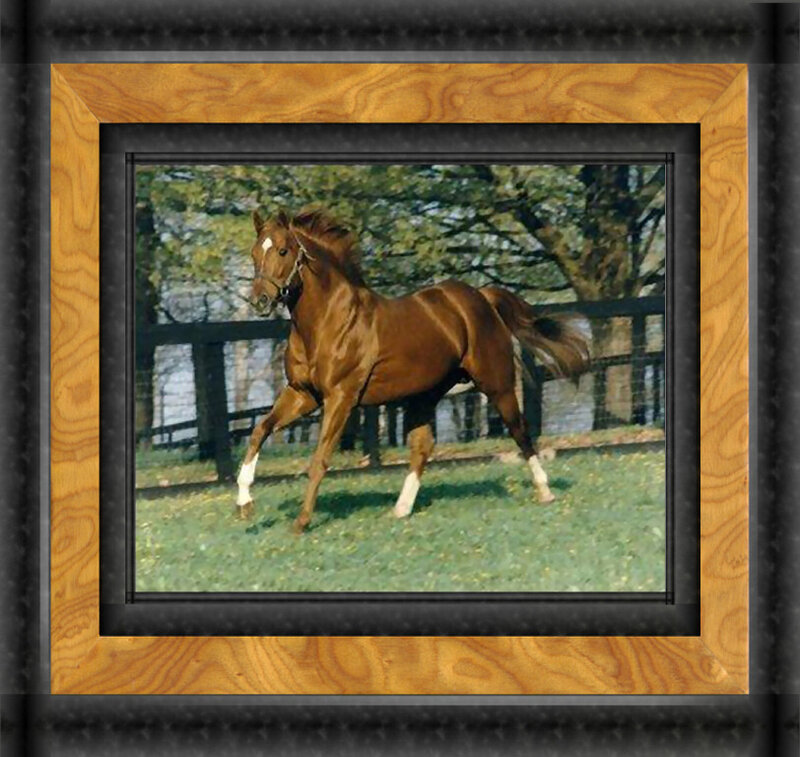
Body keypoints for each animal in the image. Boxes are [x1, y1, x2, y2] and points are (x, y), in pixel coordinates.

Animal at [236, 207, 590, 534]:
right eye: (254, 252)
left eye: (283, 250)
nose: (260, 300)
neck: (327, 322)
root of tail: (481, 297)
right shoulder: (302, 394)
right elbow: (259, 431)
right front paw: (244, 504)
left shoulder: (341, 397)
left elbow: (319, 458)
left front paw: (301, 521)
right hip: (424, 395)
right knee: (422, 447)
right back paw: (401, 509)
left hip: (496, 383)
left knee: (520, 430)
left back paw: (545, 491)